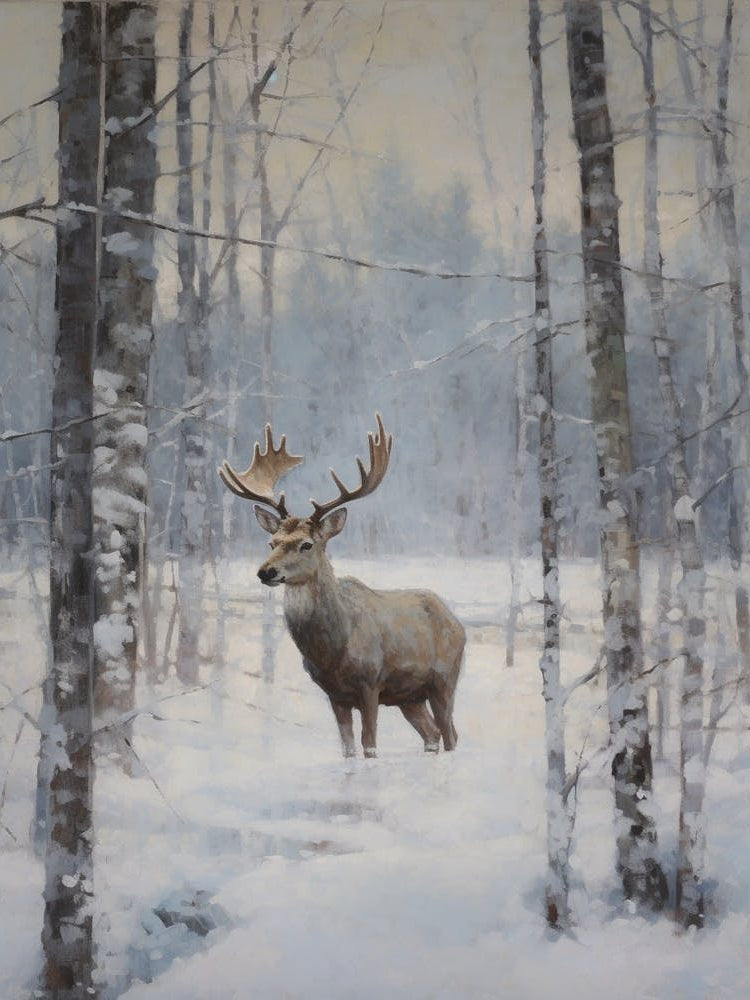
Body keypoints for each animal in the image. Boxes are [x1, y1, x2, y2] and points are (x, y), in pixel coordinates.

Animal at [218, 414, 465, 759]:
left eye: (306, 544)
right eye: (272, 542)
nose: (265, 572)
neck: (333, 650)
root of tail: (455, 621)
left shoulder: (371, 682)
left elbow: (369, 744)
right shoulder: (334, 694)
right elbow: (347, 748)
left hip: (444, 679)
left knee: (451, 734)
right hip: (409, 696)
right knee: (432, 735)